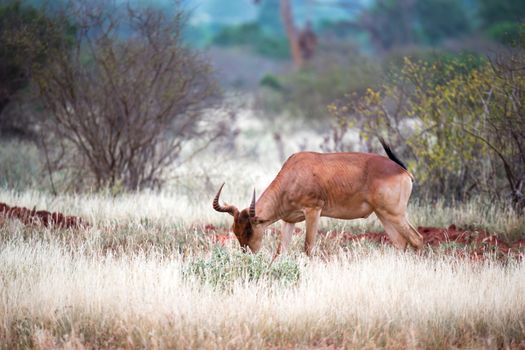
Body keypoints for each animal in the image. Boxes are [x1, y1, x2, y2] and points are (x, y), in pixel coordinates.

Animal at [212, 138, 422, 256]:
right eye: (235, 230)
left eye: (249, 230)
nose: (248, 256)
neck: (295, 171)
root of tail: (403, 171)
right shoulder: (289, 220)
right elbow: (281, 251)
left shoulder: (313, 210)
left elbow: (308, 247)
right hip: (383, 214)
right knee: (400, 243)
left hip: (395, 214)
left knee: (417, 239)